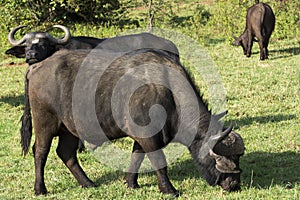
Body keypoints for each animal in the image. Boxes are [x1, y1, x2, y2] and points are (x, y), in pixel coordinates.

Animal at [22, 47, 245, 196]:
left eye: (237, 158)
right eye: (220, 159)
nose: (234, 184)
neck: (168, 94)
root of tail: (37, 66)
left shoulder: (142, 137)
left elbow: (136, 158)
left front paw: (131, 183)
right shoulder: (149, 137)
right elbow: (159, 163)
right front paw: (169, 189)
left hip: (69, 129)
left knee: (66, 153)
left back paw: (88, 183)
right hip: (44, 123)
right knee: (40, 152)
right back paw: (40, 189)